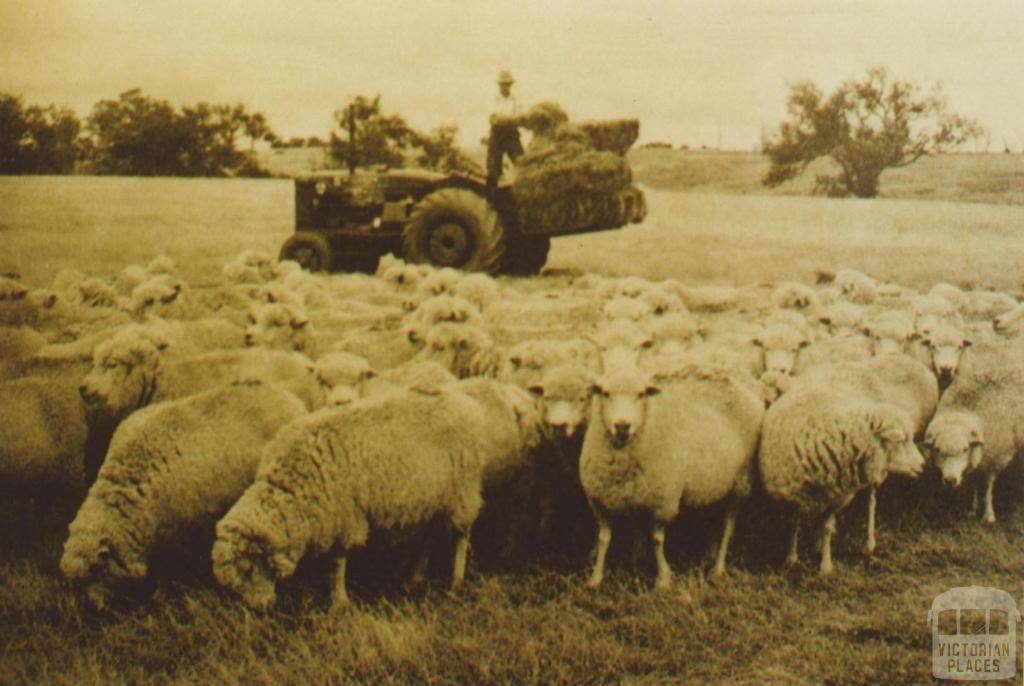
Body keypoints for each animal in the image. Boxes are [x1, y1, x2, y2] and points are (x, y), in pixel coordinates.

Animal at [59, 384, 305, 610]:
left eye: (94, 570)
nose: (92, 610)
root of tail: (286, 394)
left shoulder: (178, 534)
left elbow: (168, 572)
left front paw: (161, 596)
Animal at [214, 376, 544, 614]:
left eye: (249, 568)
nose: (260, 610)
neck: (291, 489)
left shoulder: (346, 515)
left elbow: (338, 561)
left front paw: (339, 602)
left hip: (461, 490)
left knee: (460, 536)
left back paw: (455, 582)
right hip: (432, 495)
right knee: (430, 535)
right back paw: (414, 578)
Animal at [581, 360, 765, 589]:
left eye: (641, 394)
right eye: (605, 393)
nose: (623, 425)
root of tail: (743, 384)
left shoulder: (663, 502)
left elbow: (656, 539)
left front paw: (663, 579)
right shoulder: (600, 501)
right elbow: (604, 538)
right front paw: (598, 577)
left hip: (741, 481)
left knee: (728, 526)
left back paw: (718, 567)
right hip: (717, 483)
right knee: (715, 519)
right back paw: (708, 556)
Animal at [761, 362, 929, 577]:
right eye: (900, 440)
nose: (923, 465)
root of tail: (851, 364)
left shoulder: (838, 497)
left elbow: (826, 526)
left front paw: (825, 566)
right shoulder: (793, 490)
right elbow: (793, 522)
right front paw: (790, 558)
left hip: (870, 478)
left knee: (871, 503)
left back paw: (868, 543)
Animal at [921, 368, 1024, 524]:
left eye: (965, 449)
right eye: (937, 450)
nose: (950, 480)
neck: (962, 410)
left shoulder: (994, 458)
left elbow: (987, 487)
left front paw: (988, 515)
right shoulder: (978, 459)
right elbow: (974, 482)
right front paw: (972, 510)